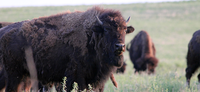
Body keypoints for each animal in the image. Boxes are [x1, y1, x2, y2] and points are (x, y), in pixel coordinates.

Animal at [0, 6, 136, 92]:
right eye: (107, 29)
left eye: (124, 29)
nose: (120, 46)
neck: (92, 34)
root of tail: (4, 32)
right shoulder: (77, 77)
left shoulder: (96, 80)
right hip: (14, 74)